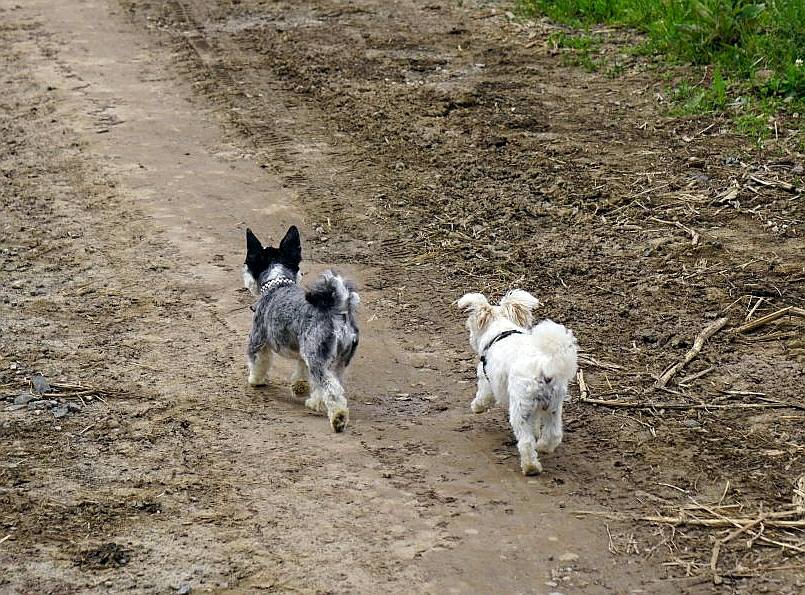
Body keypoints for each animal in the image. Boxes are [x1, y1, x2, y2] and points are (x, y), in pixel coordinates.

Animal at [242, 225, 360, 432]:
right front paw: (300, 386)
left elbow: (259, 362)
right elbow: (302, 371)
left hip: (317, 358)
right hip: (335, 361)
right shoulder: (303, 351)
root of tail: (338, 310)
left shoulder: (258, 340)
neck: (278, 282)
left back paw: (338, 417)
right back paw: (315, 403)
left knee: (332, 389)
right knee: (331, 383)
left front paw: (255, 380)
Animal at [456, 290, 577, 475]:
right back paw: (543, 447)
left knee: (526, 442)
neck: (501, 331)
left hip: (520, 407)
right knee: (554, 433)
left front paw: (476, 407)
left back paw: (531, 467)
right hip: (553, 406)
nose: (470, 337)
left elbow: (483, 397)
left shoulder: (486, 380)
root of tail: (544, 366)